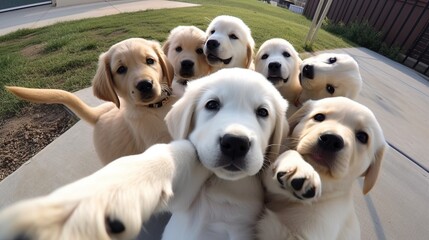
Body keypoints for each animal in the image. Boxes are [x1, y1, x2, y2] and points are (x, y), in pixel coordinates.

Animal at [0, 68, 320, 240]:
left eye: (263, 112)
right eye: (212, 105)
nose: (235, 143)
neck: (223, 182)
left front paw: (299, 171)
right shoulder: (185, 195)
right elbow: (169, 156)